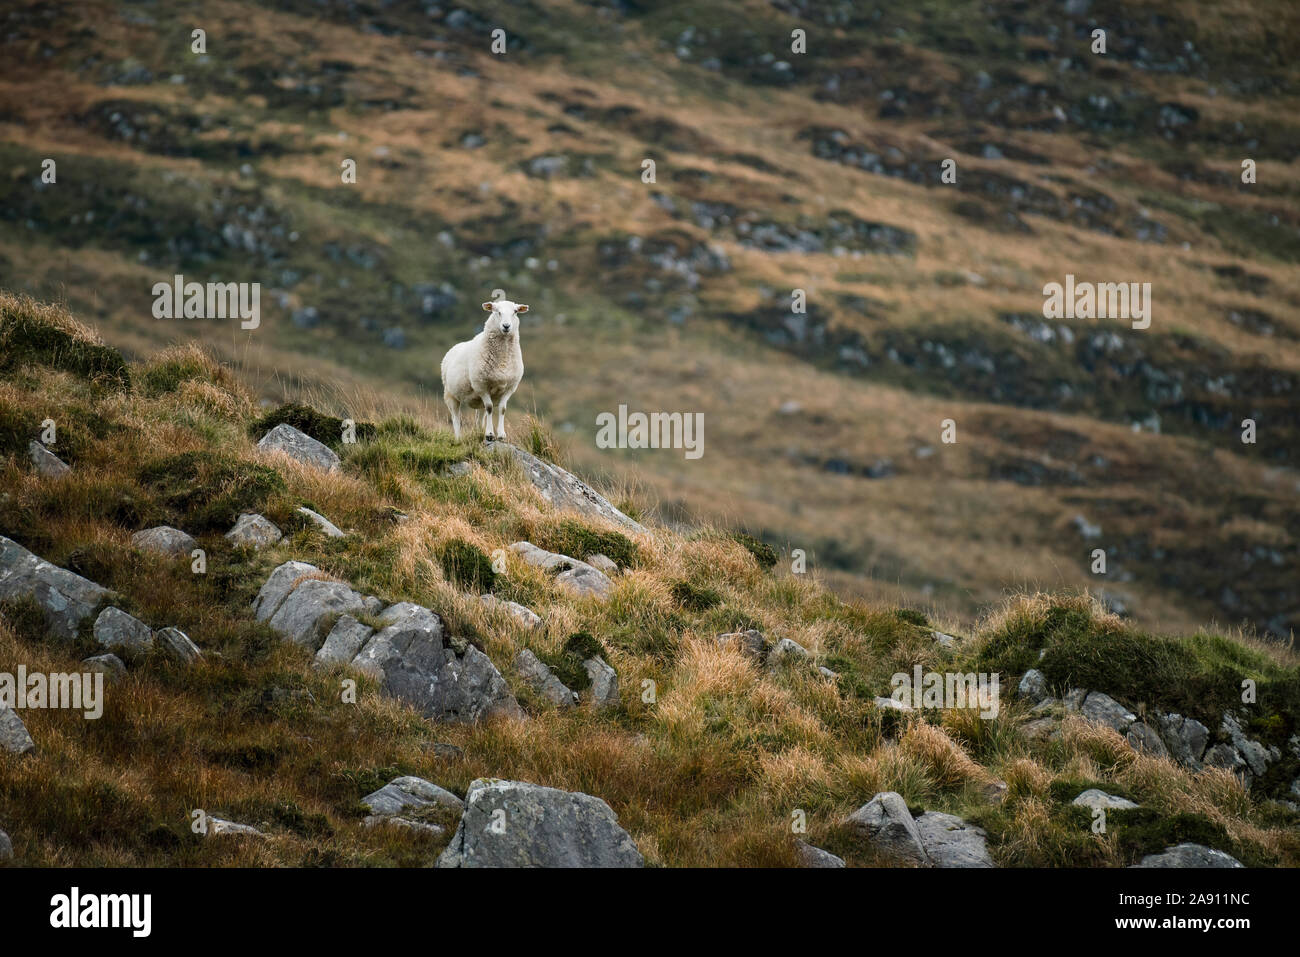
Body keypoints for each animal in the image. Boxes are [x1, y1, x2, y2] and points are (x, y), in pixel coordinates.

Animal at [440, 298, 528, 442]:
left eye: (515, 312)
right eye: (497, 311)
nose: (506, 326)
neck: (503, 359)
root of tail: (453, 348)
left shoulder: (509, 387)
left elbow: (502, 409)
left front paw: (501, 435)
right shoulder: (481, 385)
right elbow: (490, 408)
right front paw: (490, 434)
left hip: (477, 399)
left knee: (479, 417)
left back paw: (478, 432)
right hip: (450, 394)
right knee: (456, 417)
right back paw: (458, 438)